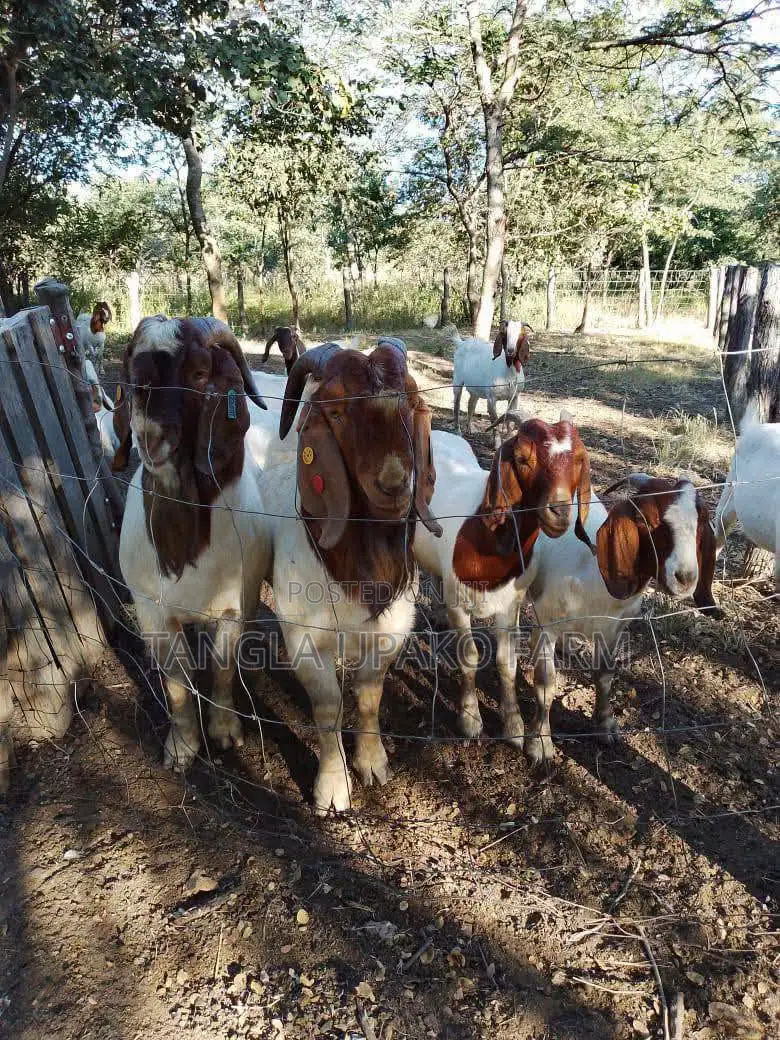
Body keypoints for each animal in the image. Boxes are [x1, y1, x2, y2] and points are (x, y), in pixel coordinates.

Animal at [118, 315, 269, 770]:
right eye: (134, 374)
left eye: (200, 374)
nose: (149, 437)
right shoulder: (151, 611)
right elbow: (176, 680)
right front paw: (181, 746)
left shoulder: (235, 604)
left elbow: (221, 667)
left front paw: (224, 732)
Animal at [258, 339, 442, 813]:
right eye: (337, 412)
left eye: (409, 403)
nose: (394, 484)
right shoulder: (304, 637)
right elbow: (328, 707)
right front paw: (332, 788)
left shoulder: (392, 628)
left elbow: (369, 696)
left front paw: (372, 762)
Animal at [414, 408, 594, 749]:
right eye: (522, 458)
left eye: (579, 458)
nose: (560, 512)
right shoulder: (460, 604)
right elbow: (469, 656)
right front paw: (470, 719)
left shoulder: (510, 606)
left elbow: (506, 662)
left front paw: (513, 725)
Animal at [525, 473, 719, 764]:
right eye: (645, 519)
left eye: (702, 522)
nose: (685, 578)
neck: (591, 573)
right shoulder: (547, 624)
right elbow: (546, 683)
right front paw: (540, 743)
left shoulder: (613, 630)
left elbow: (605, 675)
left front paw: (605, 726)